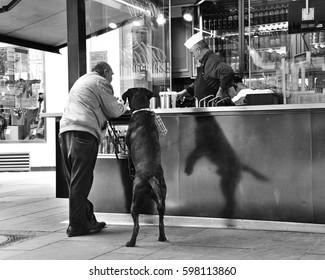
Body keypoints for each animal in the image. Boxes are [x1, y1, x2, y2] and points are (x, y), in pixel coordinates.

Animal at [121, 88, 167, 247]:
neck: (141, 111)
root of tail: (151, 177)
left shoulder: (128, 147)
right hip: (161, 201)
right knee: (161, 222)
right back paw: (162, 238)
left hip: (134, 202)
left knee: (137, 226)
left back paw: (131, 242)